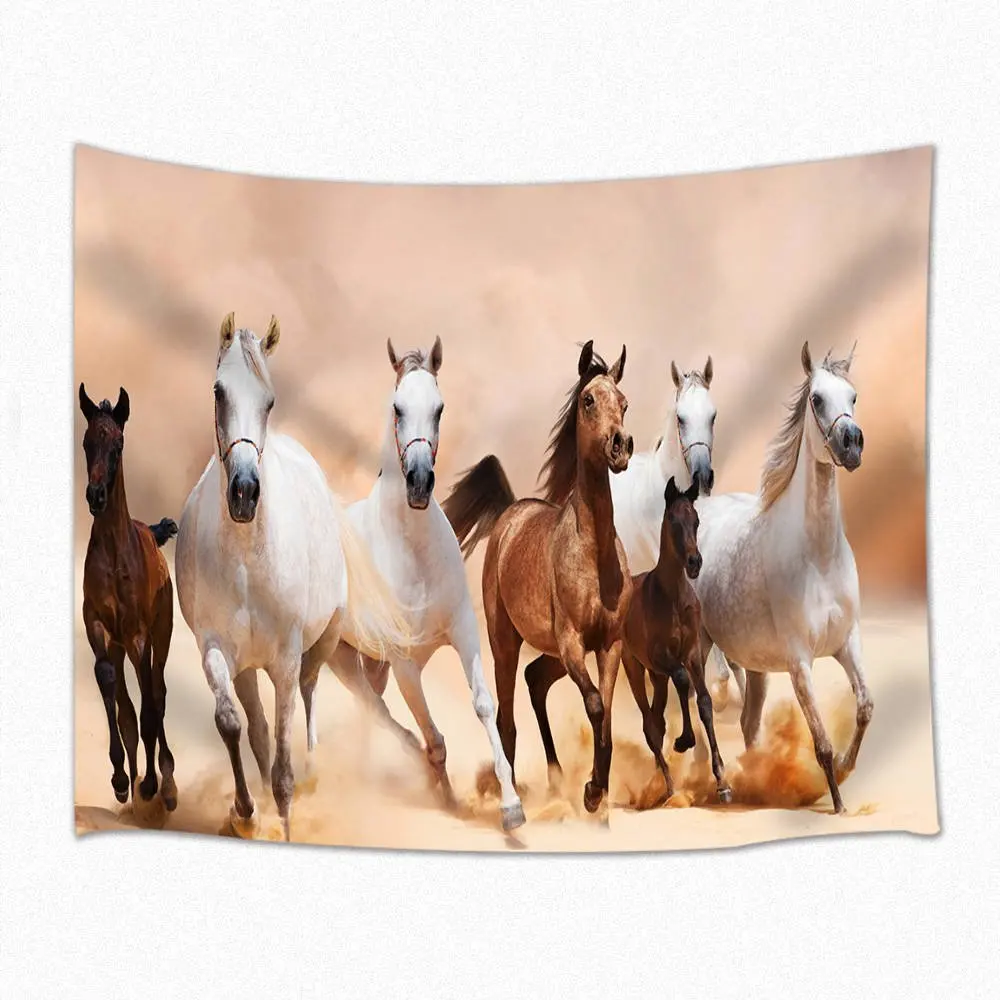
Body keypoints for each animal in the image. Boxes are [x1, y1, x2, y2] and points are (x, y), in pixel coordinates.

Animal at [175, 313, 413, 840]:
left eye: (269, 401)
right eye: (219, 391)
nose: (244, 492)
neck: (246, 559)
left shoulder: (285, 656)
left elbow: (284, 764)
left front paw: (284, 818)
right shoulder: (215, 648)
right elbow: (232, 724)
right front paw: (247, 808)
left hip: (320, 644)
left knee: (309, 693)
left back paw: (314, 766)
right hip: (249, 666)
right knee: (260, 729)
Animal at [316, 337, 525, 831]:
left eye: (439, 408)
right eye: (397, 407)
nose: (419, 483)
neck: (414, 555)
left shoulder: (463, 632)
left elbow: (483, 705)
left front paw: (511, 807)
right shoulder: (406, 663)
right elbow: (434, 736)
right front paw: (444, 796)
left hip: (372, 661)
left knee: (372, 709)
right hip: (341, 658)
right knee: (378, 711)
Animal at [443, 341, 633, 817]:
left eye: (624, 403)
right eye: (588, 400)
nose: (620, 447)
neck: (593, 554)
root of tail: (511, 513)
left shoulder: (608, 644)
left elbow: (606, 716)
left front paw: (596, 793)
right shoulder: (572, 642)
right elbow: (595, 705)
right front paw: (592, 791)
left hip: (551, 653)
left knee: (535, 681)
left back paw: (556, 778)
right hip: (505, 643)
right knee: (507, 717)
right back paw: (513, 796)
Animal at [619, 475, 732, 804]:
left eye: (696, 520)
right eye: (672, 519)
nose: (695, 562)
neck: (673, 598)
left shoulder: (693, 652)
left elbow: (704, 701)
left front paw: (722, 781)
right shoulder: (663, 656)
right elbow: (682, 680)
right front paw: (684, 740)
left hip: (656, 676)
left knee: (657, 719)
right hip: (634, 666)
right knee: (649, 725)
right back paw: (669, 786)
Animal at [693, 341, 871, 813]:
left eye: (853, 396)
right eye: (817, 399)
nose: (852, 444)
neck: (819, 558)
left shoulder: (847, 643)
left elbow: (865, 707)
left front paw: (847, 768)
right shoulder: (799, 662)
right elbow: (821, 742)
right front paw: (839, 803)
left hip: (755, 667)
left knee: (748, 722)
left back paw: (755, 780)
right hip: (698, 647)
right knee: (700, 709)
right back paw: (722, 784)